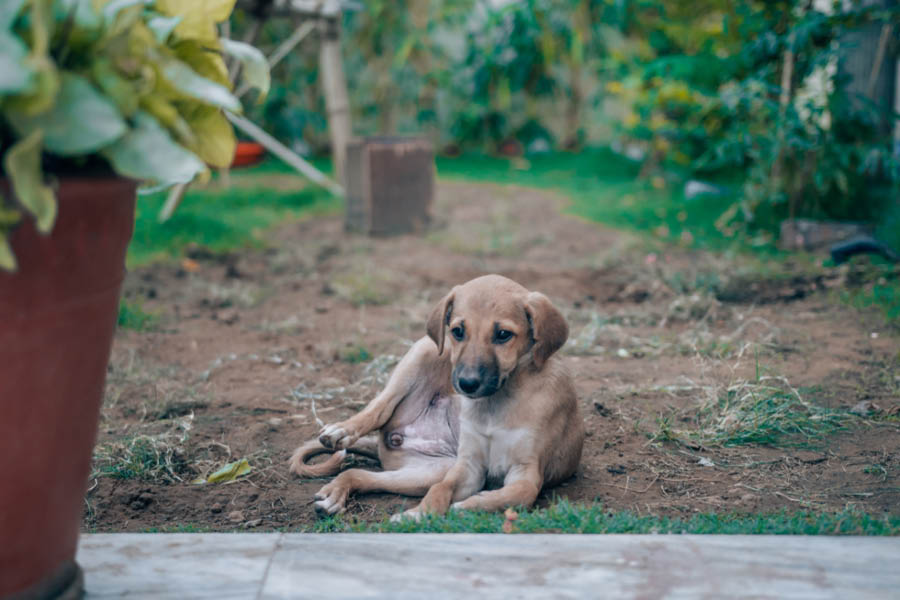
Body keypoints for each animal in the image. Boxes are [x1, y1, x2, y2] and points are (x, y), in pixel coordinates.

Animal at [290, 274, 584, 516]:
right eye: (458, 331)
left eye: (503, 334)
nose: (466, 384)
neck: (496, 402)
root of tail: (393, 440)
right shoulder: (468, 465)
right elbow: (441, 489)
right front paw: (421, 514)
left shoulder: (526, 471)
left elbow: (518, 494)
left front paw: (468, 505)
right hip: (426, 350)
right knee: (380, 408)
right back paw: (341, 431)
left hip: (427, 471)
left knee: (359, 474)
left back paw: (336, 491)